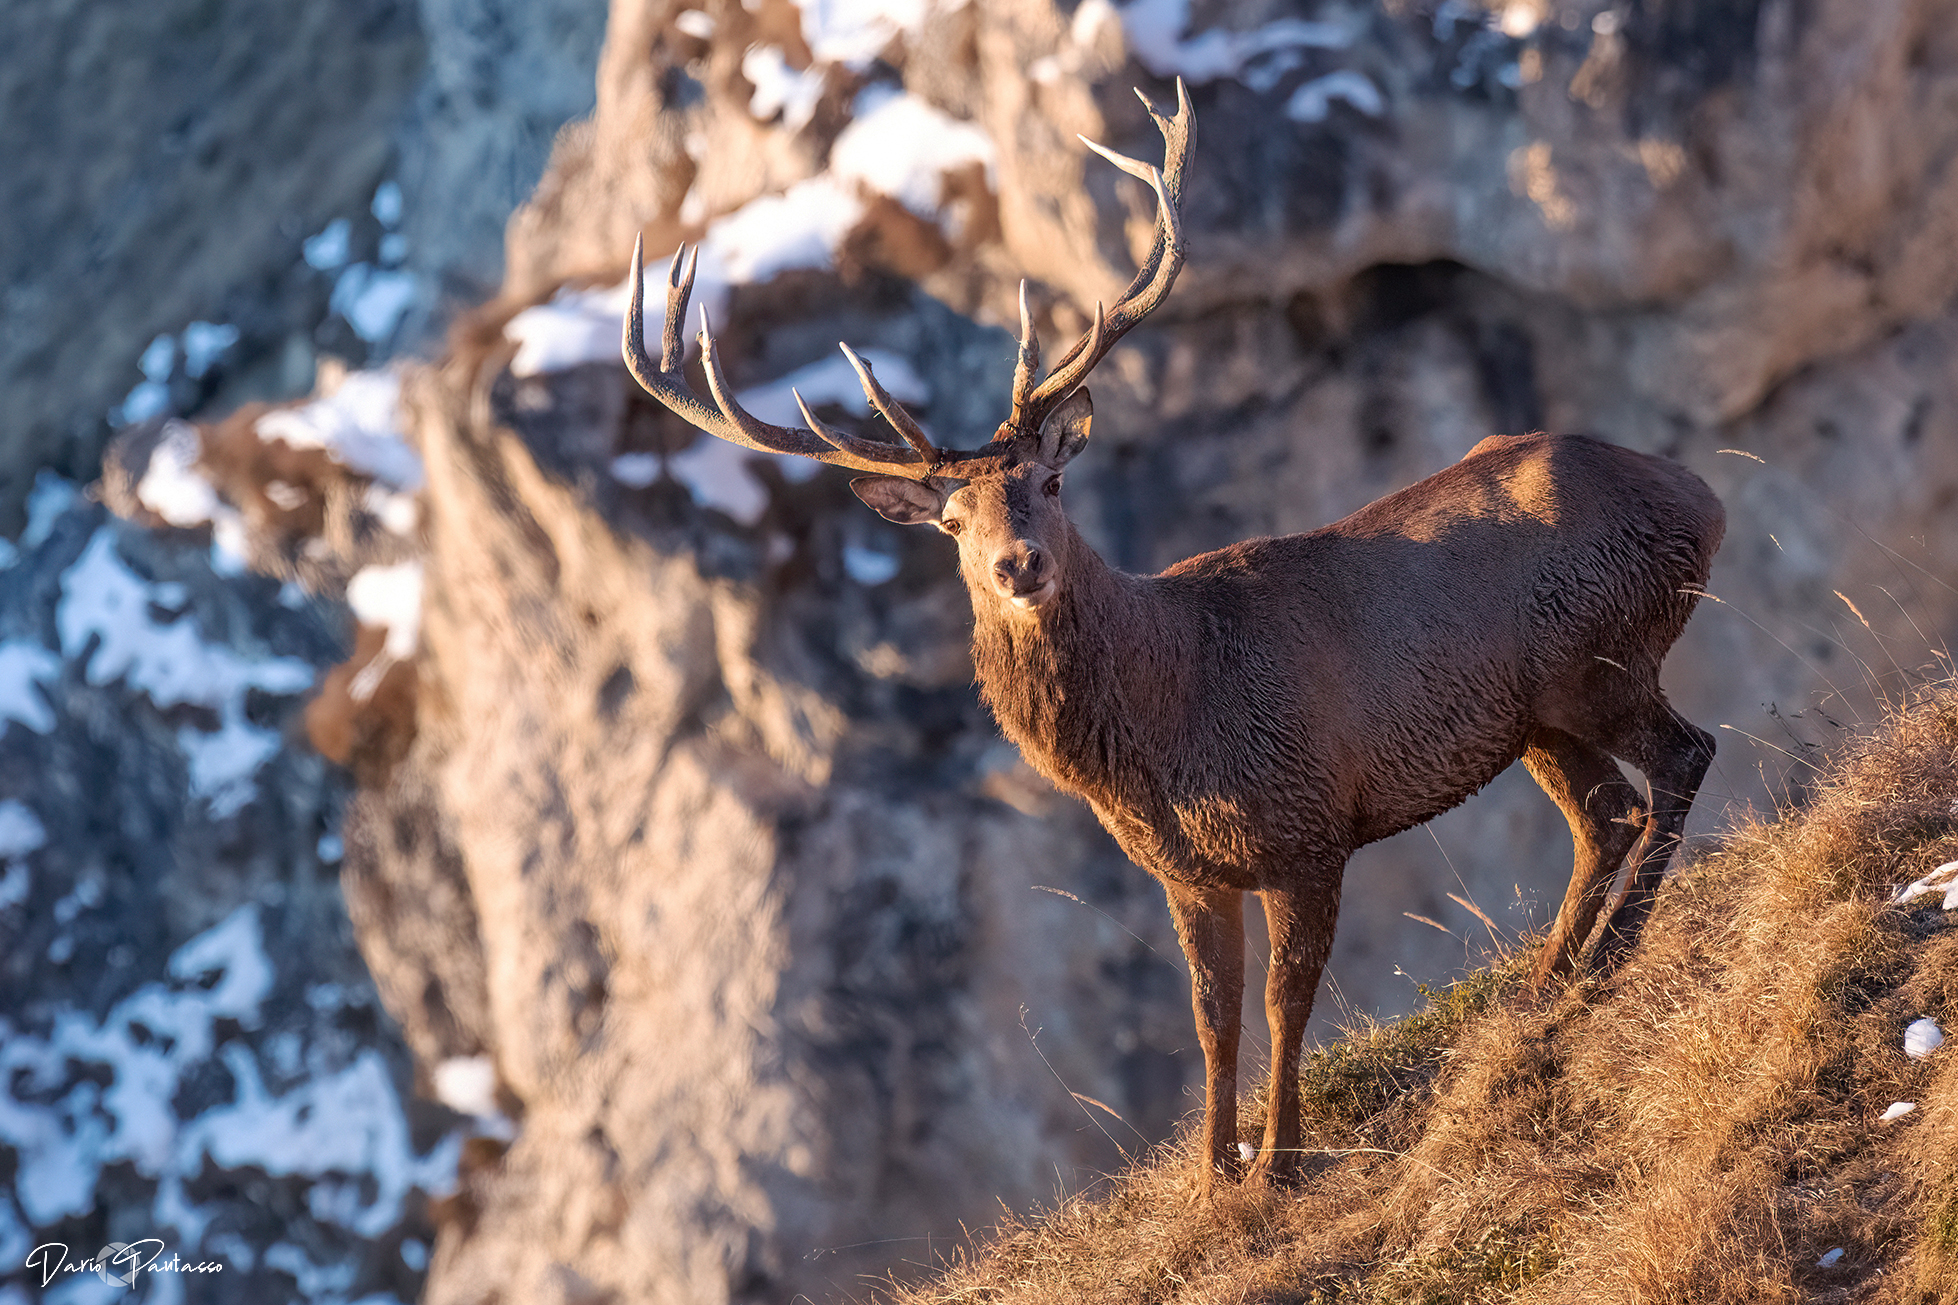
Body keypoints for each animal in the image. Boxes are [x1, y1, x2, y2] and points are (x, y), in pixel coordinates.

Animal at [620, 81, 1724, 1193]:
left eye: (1049, 482)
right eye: (950, 521)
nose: (1018, 565)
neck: (1171, 716)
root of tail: (1699, 499)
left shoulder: (1306, 821)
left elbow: (1283, 1002)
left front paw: (1278, 1163)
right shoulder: (1188, 870)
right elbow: (1207, 1016)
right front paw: (1211, 1174)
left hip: (1599, 652)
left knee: (1684, 754)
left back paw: (1613, 952)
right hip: (1535, 714)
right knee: (1605, 812)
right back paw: (1548, 980)